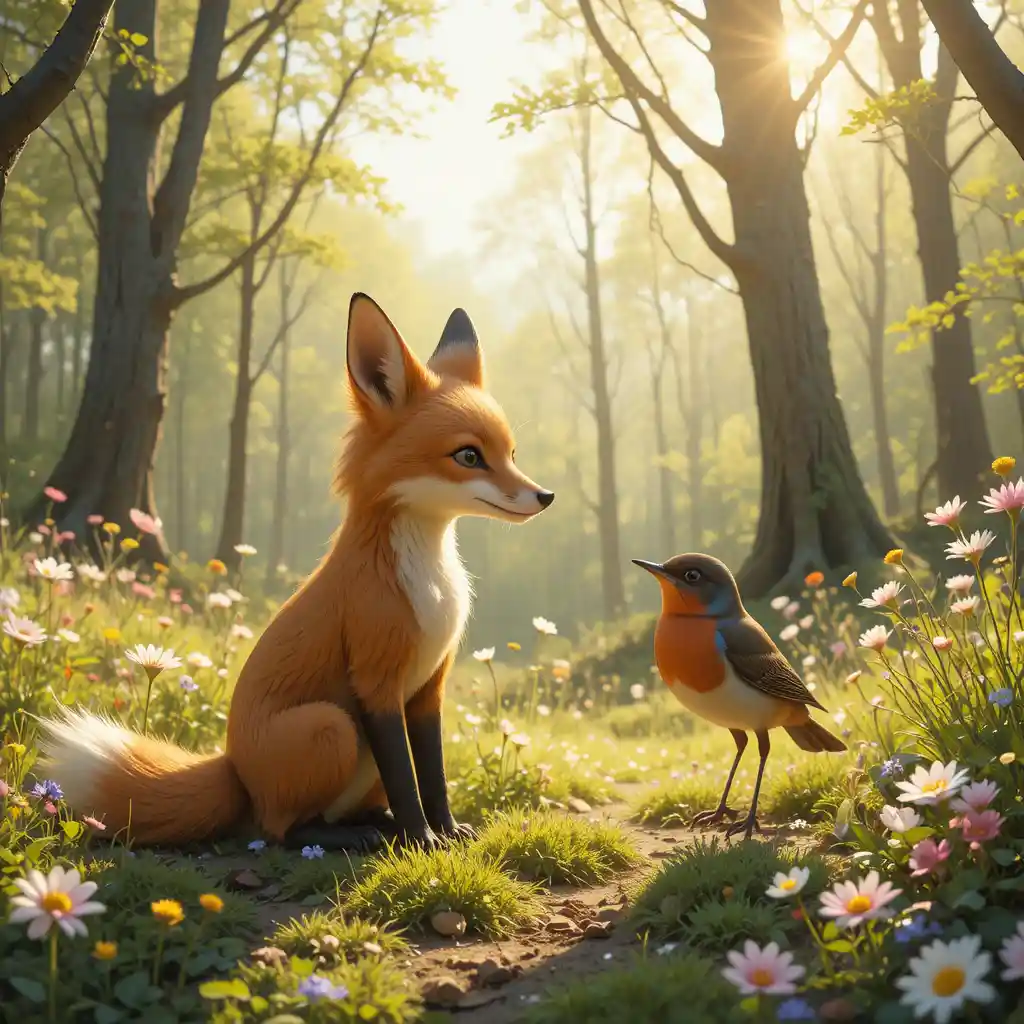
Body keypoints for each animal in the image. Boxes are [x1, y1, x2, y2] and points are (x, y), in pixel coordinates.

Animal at [36, 293, 555, 852]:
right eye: (468, 456)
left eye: (511, 453)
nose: (545, 496)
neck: (430, 586)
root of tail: (236, 770)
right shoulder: (377, 680)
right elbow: (407, 779)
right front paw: (421, 840)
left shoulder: (428, 688)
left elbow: (432, 776)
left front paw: (448, 831)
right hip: (330, 727)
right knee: (280, 829)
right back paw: (353, 836)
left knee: (335, 812)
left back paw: (373, 825)